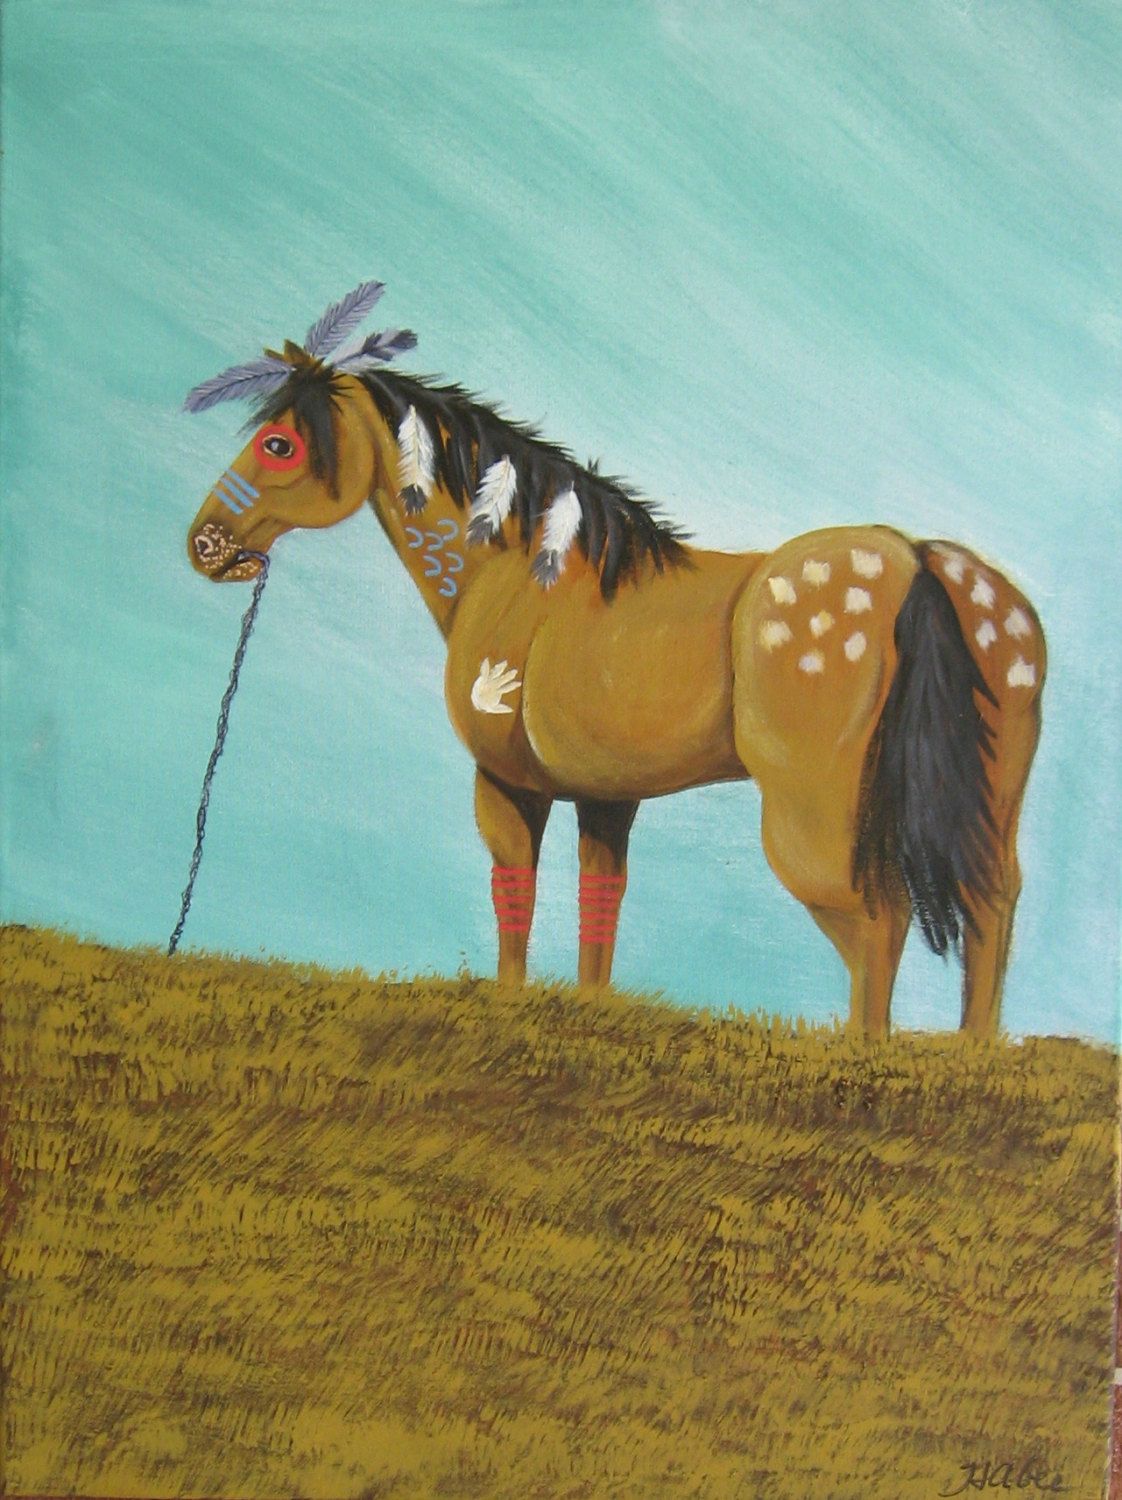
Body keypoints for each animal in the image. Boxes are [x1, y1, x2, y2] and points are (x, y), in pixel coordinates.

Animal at [183, 282, 1044, 1038]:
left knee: (877, 918)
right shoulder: (607, 798)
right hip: (981, 812)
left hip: (818, 823)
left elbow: (516, 896)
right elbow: (600, 906)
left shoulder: (507, 784)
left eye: (278, 444)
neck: (525, 570)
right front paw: (588, 1011)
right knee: (991, 908)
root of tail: (914, 558)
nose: (206, 545)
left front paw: (510, 1006)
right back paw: (972, 1053)